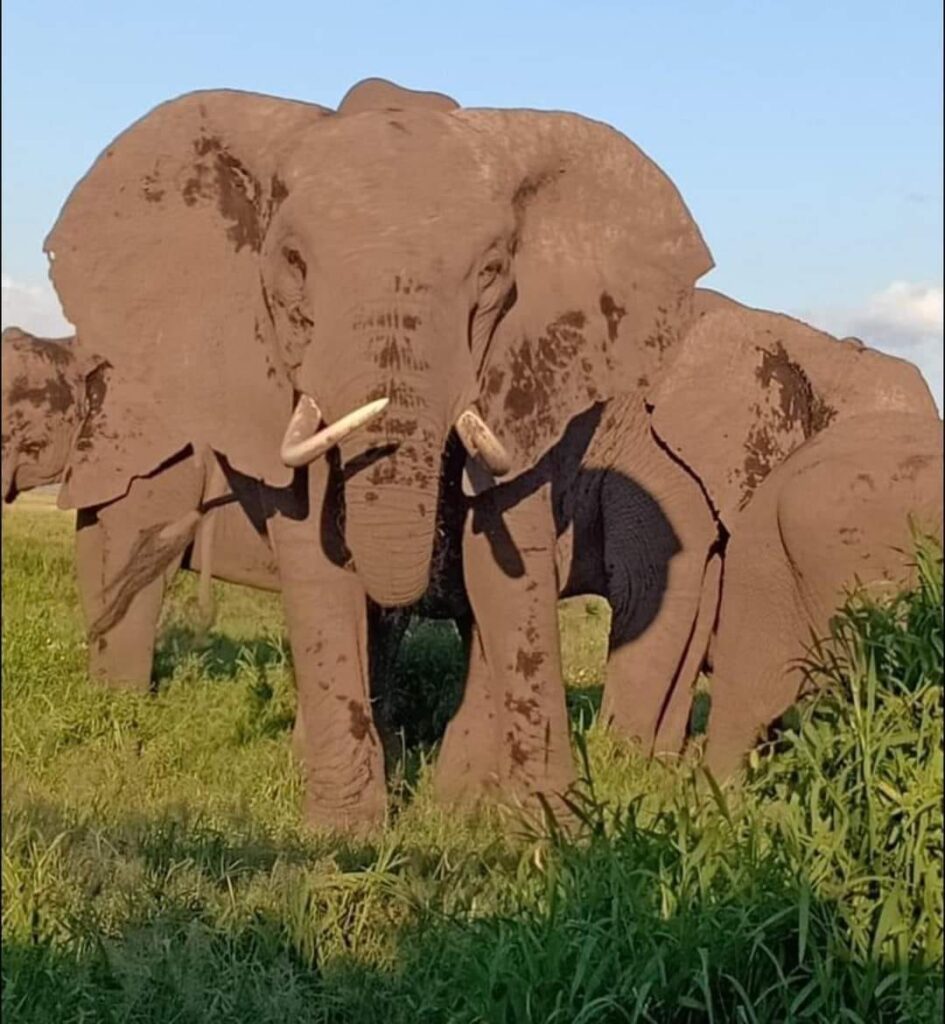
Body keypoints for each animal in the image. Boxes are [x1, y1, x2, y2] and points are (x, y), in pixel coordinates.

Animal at [41, 77, 713, 829]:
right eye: (294, 265)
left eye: (491, 272)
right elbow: (315, 561)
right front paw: (345, 834)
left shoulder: (528, 369)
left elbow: (507, 564)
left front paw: (552, 830)